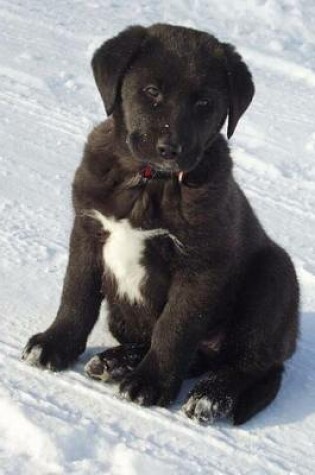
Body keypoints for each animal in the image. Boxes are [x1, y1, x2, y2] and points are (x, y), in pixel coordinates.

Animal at [22, 24, 298, 426]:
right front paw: (55, 344)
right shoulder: (87, 231)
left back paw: (209, 396)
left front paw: (150, 384)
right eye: (152, 91)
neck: (149, 182)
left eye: (204, 104)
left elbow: (175, 327)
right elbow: (76, 295)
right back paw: (115, 362)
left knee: (248, 362)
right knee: (190, 353)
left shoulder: (201, 265)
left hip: (275, 277)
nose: (171, 148)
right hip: (125, 317)